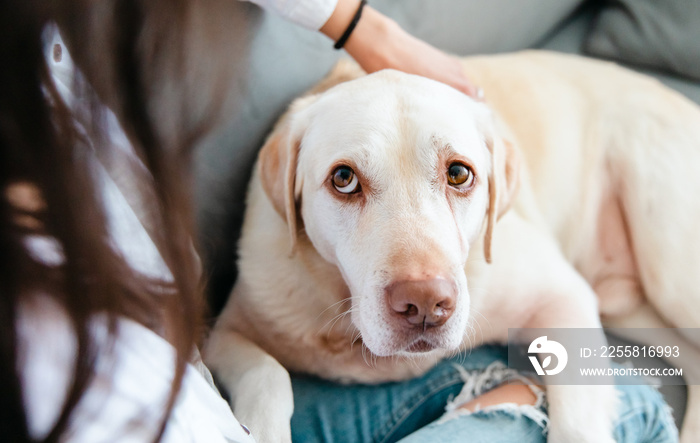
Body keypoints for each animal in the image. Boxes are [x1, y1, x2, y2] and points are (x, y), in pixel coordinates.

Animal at [204, 52, 700, 443]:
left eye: (459, 173)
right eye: (343, 179)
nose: (425, 303)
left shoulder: (565, 297)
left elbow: (577, 420)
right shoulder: (225, 332)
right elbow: (268, 375)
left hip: (670, 275)